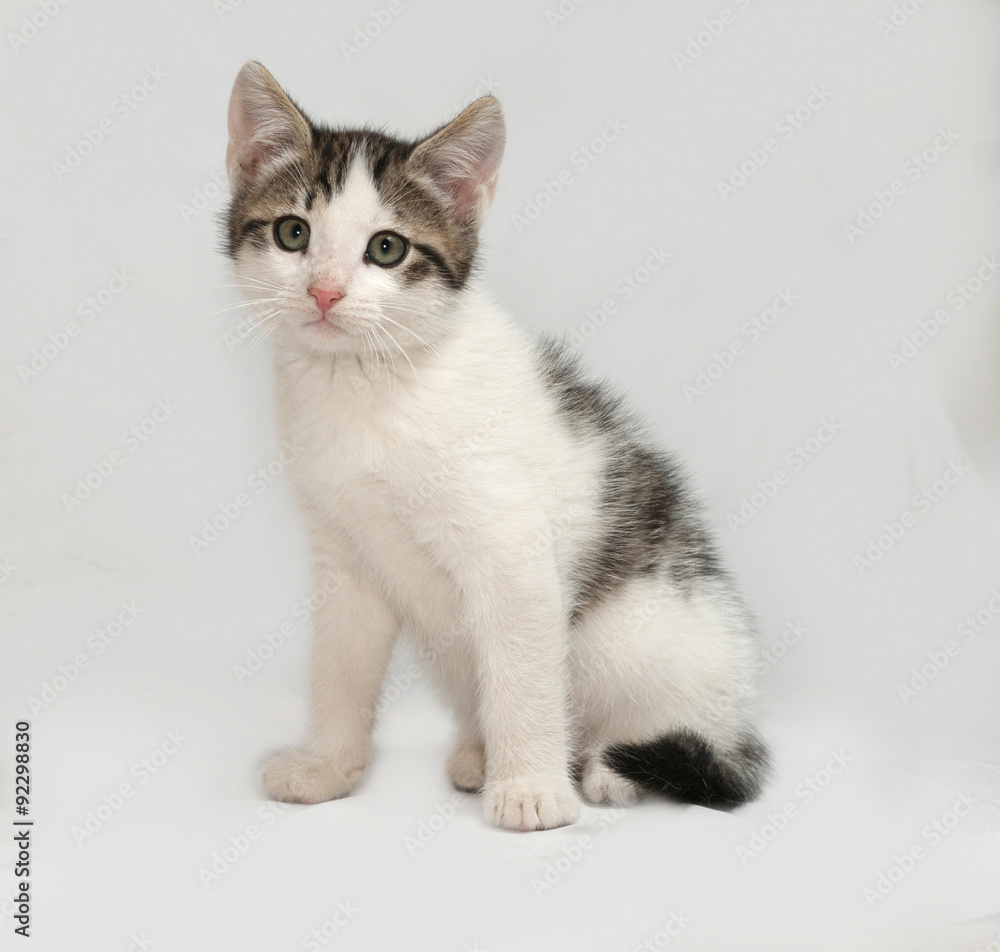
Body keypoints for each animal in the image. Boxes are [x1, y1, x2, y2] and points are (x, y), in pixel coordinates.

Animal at [227, 61, 768, 832]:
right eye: (293, 232)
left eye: (386, 247)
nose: (325, 293)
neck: (368, 386)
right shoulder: (345, 559)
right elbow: (340, 666)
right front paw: (327, 767)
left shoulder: (513, 555)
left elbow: (522, 675)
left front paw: (533, 792)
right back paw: (480, 754)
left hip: (638, 641)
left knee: (677, 735)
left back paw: (604, 772)